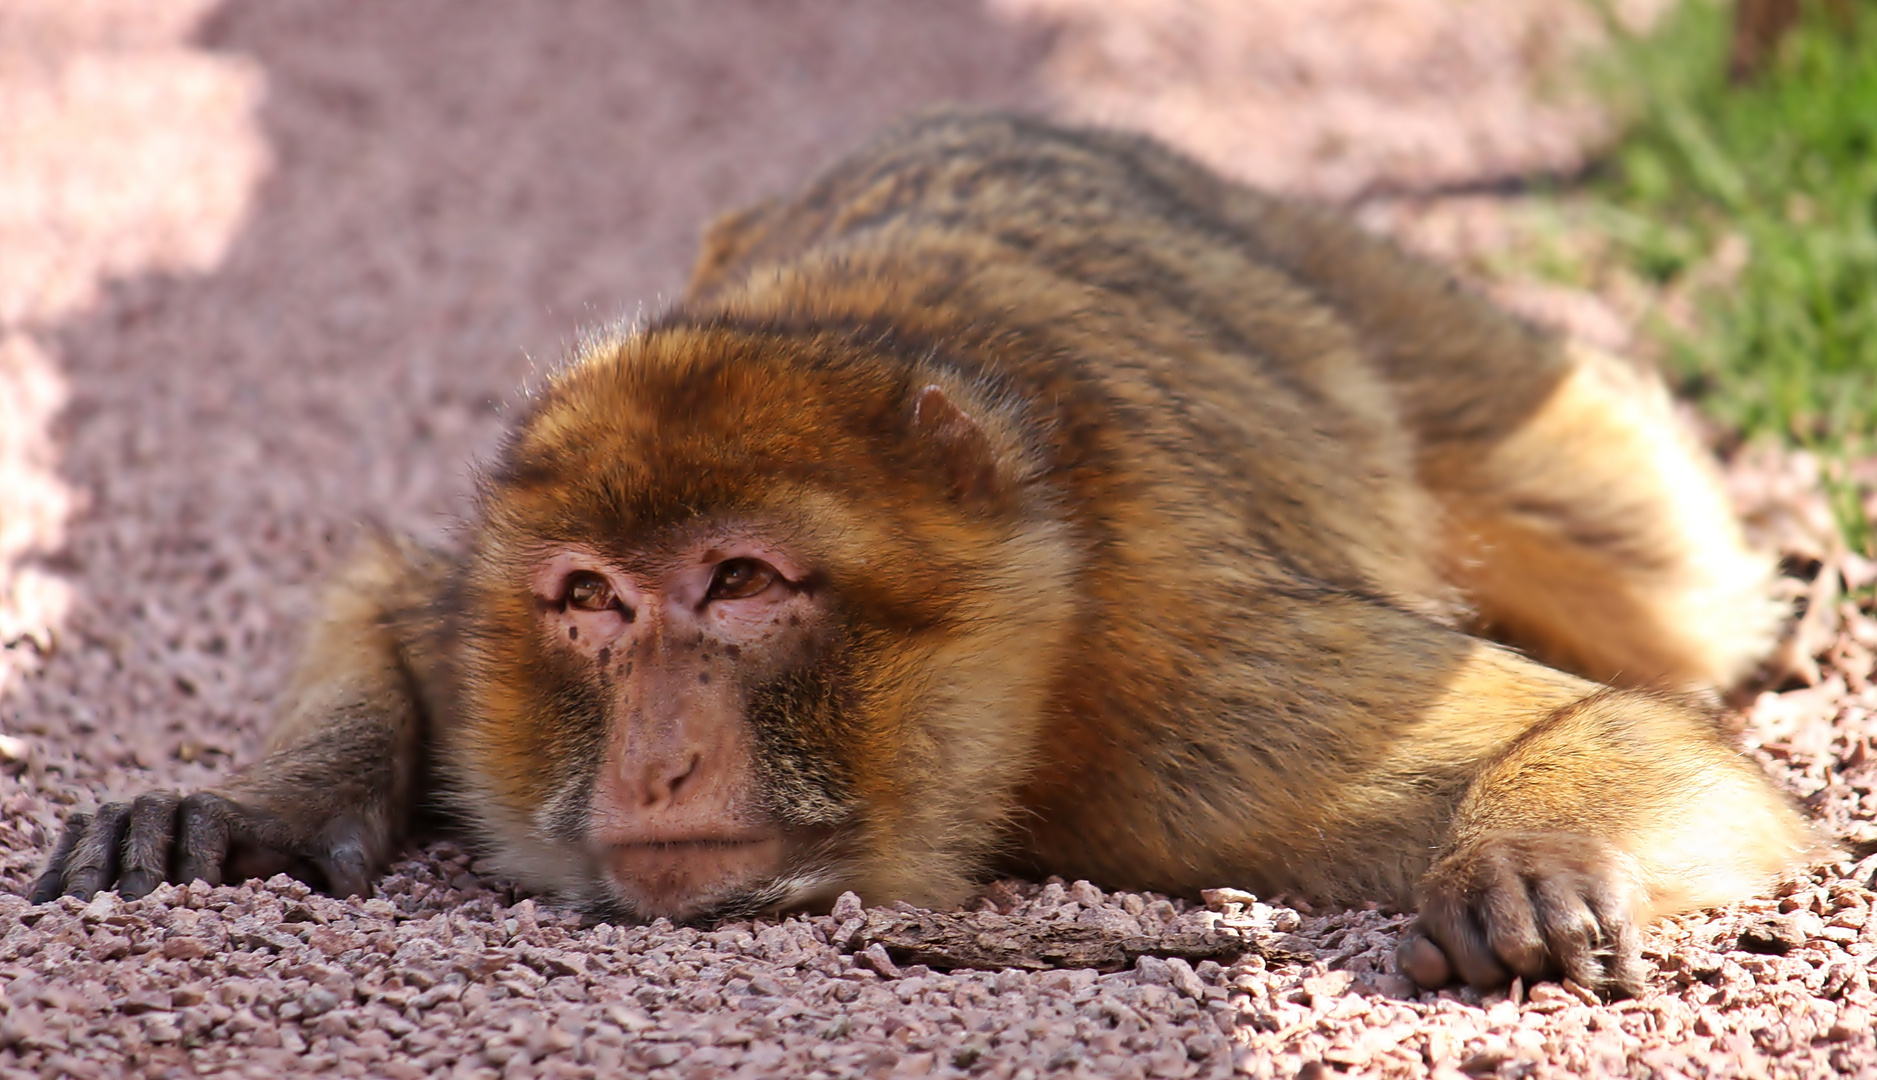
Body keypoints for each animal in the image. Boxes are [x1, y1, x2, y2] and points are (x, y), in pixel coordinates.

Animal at [29, 109, 1824, 999]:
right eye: (591, 603)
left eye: (742, 585)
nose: (655, 761)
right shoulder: (493, 634)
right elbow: (396, 601)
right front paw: (256, 807)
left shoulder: (1192, 699)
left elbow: (1618, 730)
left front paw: (1526, 856)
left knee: (1659, 595)